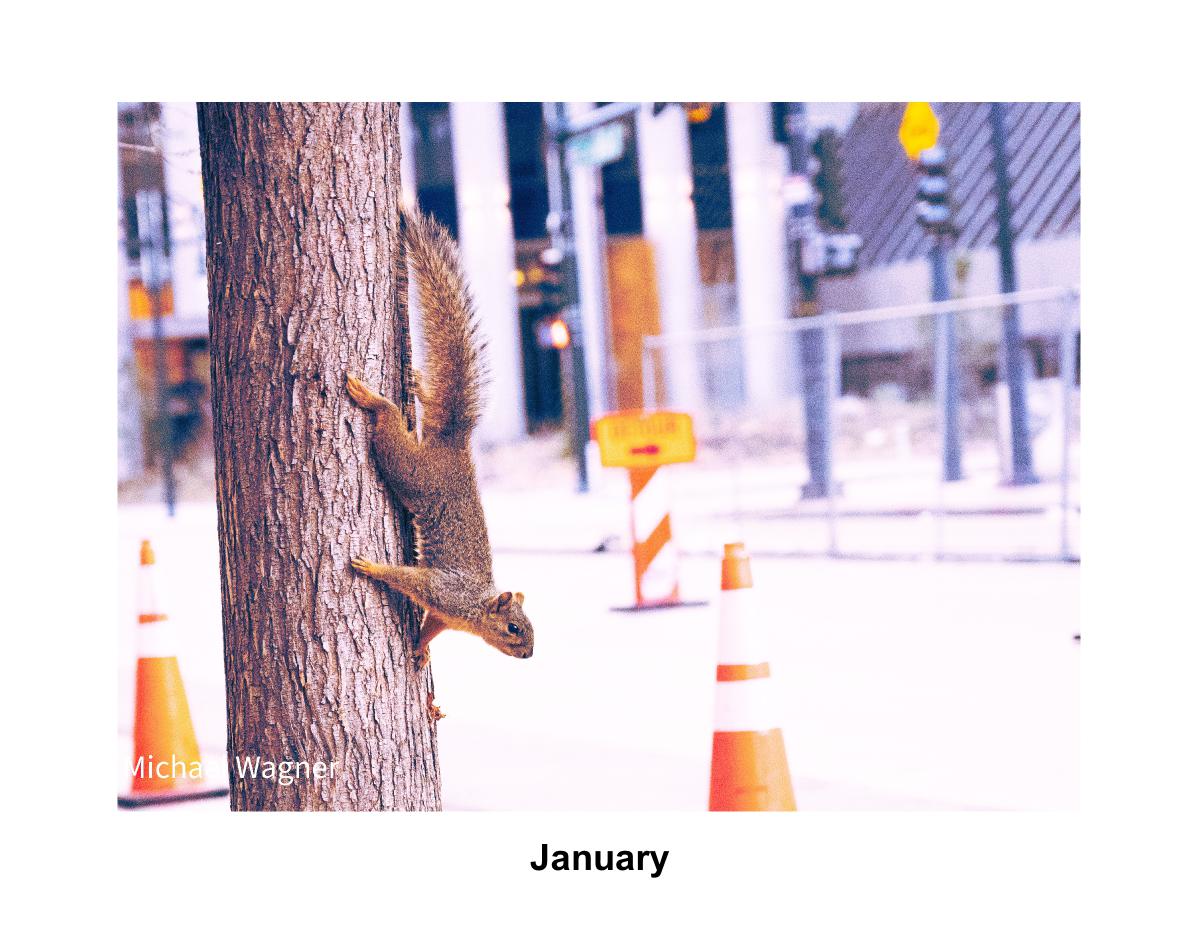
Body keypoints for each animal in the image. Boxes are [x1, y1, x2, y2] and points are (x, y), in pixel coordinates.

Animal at [346, 208, 534, 678]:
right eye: (514, 628)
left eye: (530, 628)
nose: (530, 655)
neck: (473, 611)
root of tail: (454, 442)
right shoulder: (442, 589)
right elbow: (405, 578)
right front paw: (371, 566)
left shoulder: (444, 613)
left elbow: (430, 628)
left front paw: (421, 649)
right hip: (411, 471)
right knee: (389, 427)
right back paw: (374, 400)